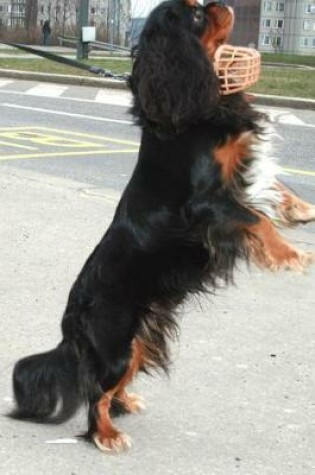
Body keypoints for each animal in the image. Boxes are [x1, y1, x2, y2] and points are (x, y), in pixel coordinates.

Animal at [8, 0, 314, 454]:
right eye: (197, 16)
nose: (220, 4)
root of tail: (71, 321)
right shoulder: (207, 203)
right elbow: (256, 218)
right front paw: (293, 255)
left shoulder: (237, 177)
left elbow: (276, 189)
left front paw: (304, 211)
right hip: (115, 345)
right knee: (96, 394)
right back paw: (106, 435)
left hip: (137, 340)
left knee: (111, 387)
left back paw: (125, 404)